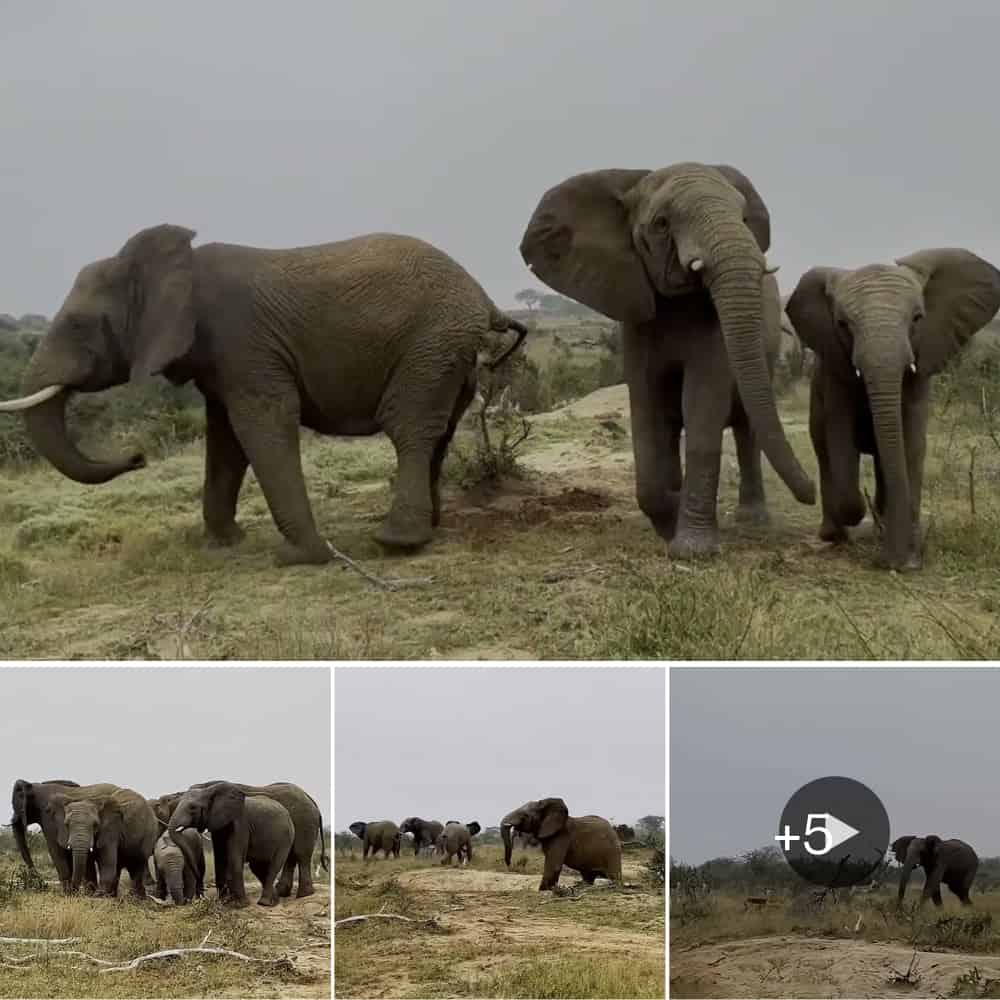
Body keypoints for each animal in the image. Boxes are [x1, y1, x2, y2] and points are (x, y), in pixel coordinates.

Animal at [0, 226, 528, 564]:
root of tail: (484, 298)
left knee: (410, 428)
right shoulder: (220, 359)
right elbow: (226, 438)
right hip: (451, 353)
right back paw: (428, 531)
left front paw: (299, 557)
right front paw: (222, 546)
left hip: (430, 342)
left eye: (77, 325)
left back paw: (396, 543)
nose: (137, 455)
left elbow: (263, 423)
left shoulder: (244, 342)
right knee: (440, 431)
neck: (179, 267)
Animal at [520, 163, 816, 558]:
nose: (813, 493)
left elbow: (702, 401)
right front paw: (669, 518)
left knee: (746, 427)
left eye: (743, 217)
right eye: (661, 224)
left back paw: (752, 520)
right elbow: (647, 404)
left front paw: (692, 550)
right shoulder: (634, 309)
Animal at [786, 249, 1000, 569]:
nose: (893, 564)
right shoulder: (835, 371)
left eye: (917, 318)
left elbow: (911, 443)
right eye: (842, 325)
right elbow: (841, 438)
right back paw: (835, 535)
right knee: (825, 452)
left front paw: (905, 557)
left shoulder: (922, 362)